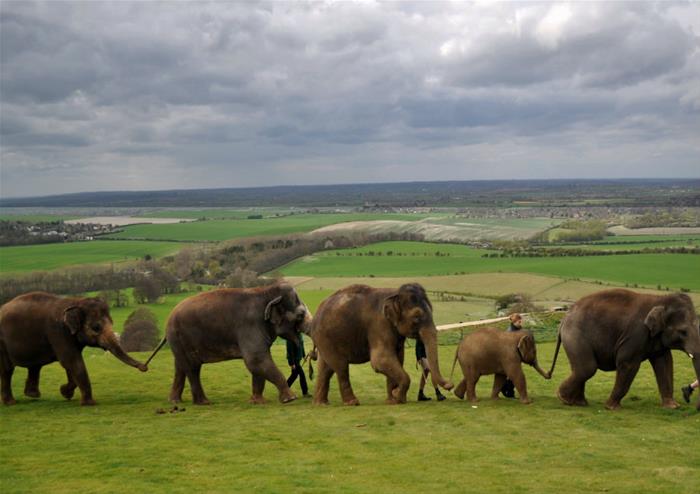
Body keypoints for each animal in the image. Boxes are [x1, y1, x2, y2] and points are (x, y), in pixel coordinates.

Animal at [0, 294, 148, 406]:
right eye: (96, 327)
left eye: (111, 322)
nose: (144, 367)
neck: (75, 301)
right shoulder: (58, 332)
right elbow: (71, 361)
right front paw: (89, 403)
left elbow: (71, 364)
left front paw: (65, 392)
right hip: (2, 344)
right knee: (7, 370)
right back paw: (11, 403)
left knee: (35, 366)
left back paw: (32, 395)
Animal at [146, 282, 310, 406]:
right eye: (300, 315)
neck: (266, 290)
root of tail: (168, 320)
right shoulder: (250, 326)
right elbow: (255, 360)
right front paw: (290, 399)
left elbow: (257, 363)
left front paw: (258, 402)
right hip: (180, 337)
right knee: (192, 368)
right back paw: (204, 403)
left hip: (179, 342)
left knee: (180, 367)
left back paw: (174, 401)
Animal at [310, 282, 454, 406]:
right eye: (416, 318)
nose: (450, 385)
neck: (395, 294)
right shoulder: (379, 325)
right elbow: (381, 360)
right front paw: (397, 396)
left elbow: (398, 358)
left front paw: (392, 400)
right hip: (327, 338)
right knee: (341, 367)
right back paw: (352, 403)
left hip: (324, 340)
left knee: (326, 368)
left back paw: (321, 404)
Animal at [548, 288, 700, 412]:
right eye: (683, 332)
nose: (695, 407)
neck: (660, 299)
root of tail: (564, 319)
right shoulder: (636, 334)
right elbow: (628, 364)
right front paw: (611, 407)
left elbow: (665, 363)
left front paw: (673, 406)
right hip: (575, 336)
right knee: (587, 368)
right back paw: (564, 399)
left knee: (580, 369)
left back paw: (578, 403)